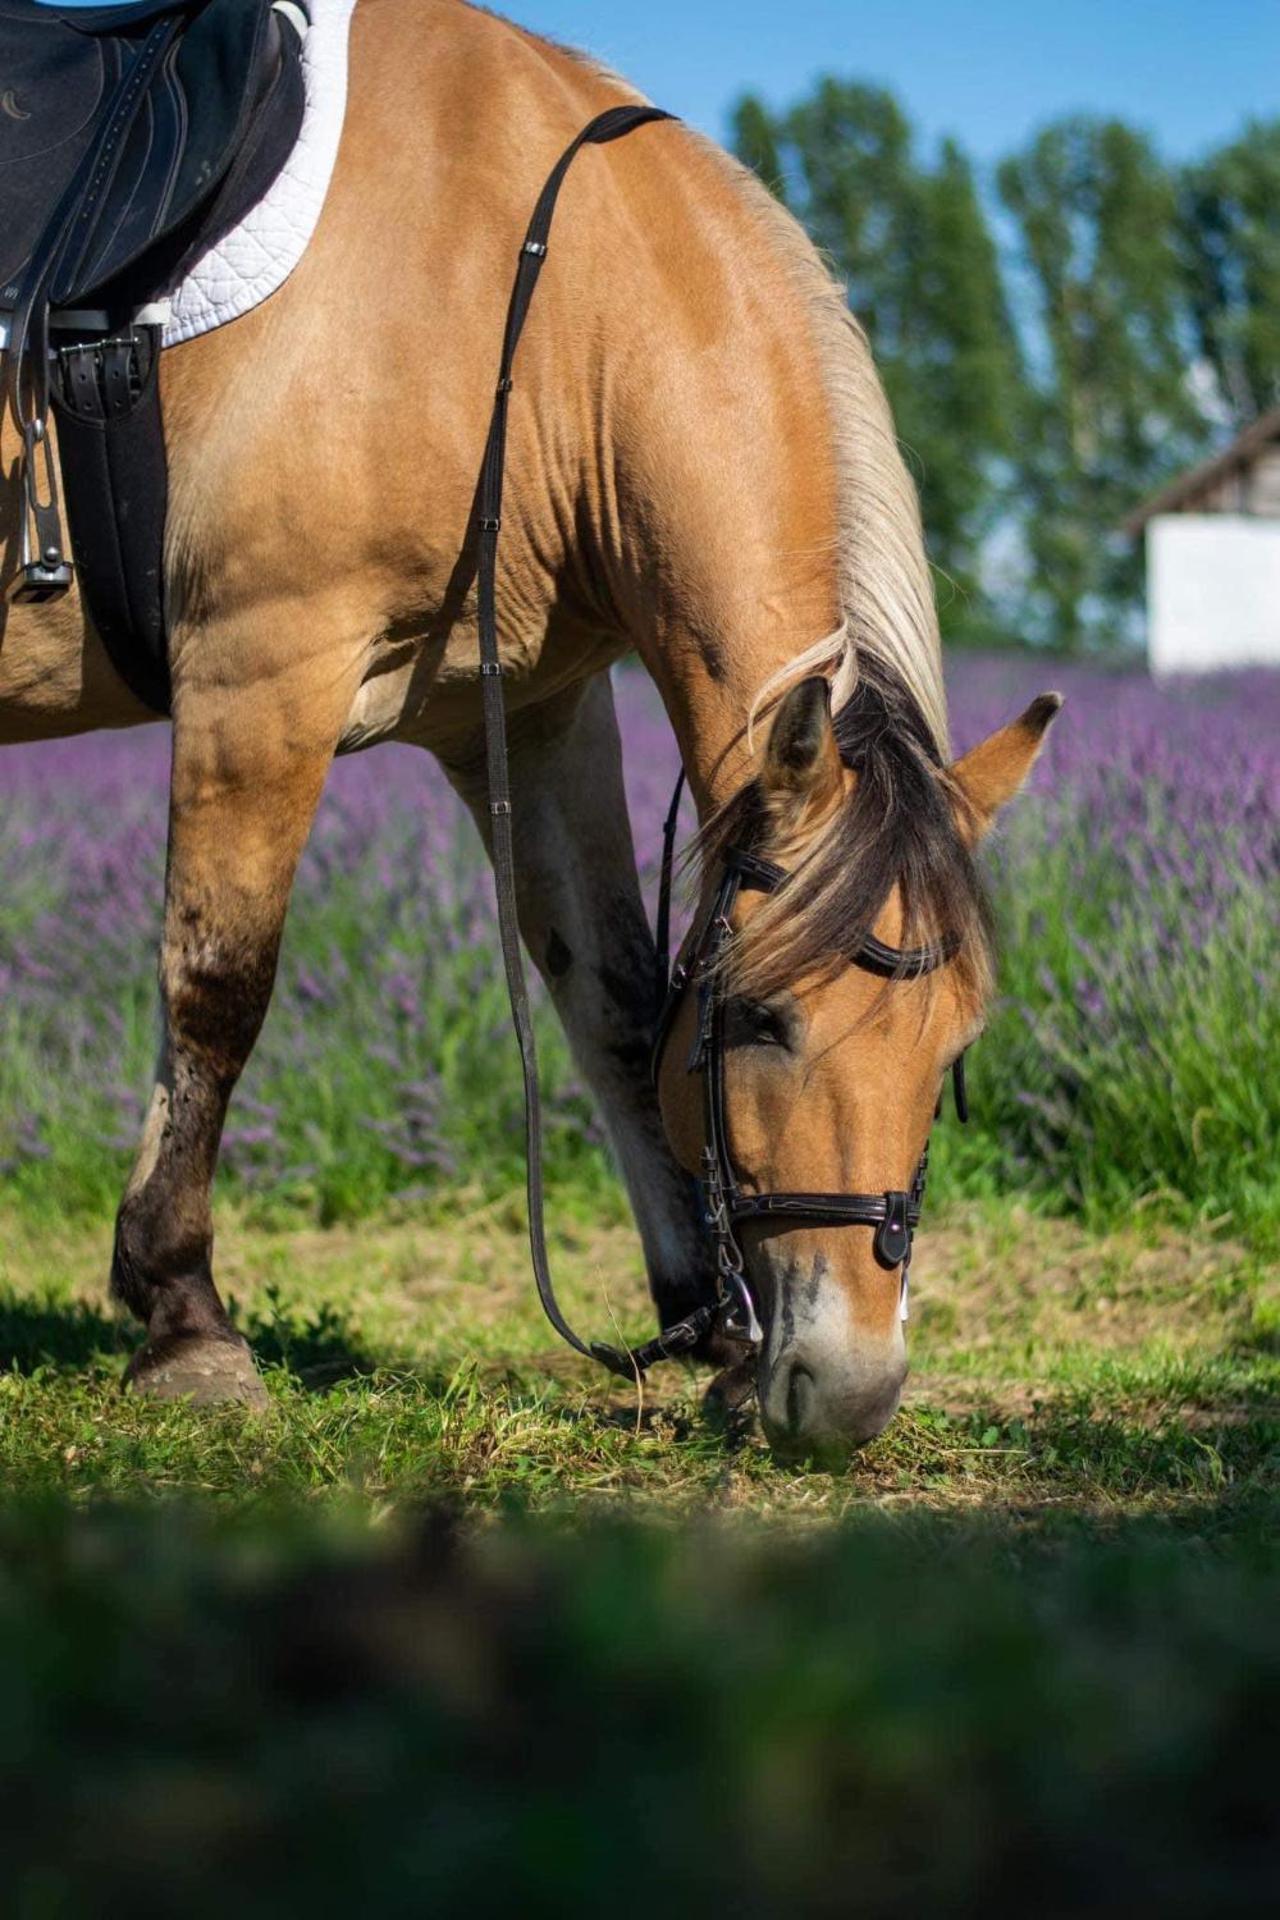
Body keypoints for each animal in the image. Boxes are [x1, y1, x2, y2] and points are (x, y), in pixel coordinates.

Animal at [0, 0, 1058, 1459]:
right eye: (766, 1022)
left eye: (952, 1046)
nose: (847, 1393)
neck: (535, 309)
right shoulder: (262, 669)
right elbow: (218, 989)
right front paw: (183, 1319)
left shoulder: (540, 713)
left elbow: (614, 997)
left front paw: (711, 1329)